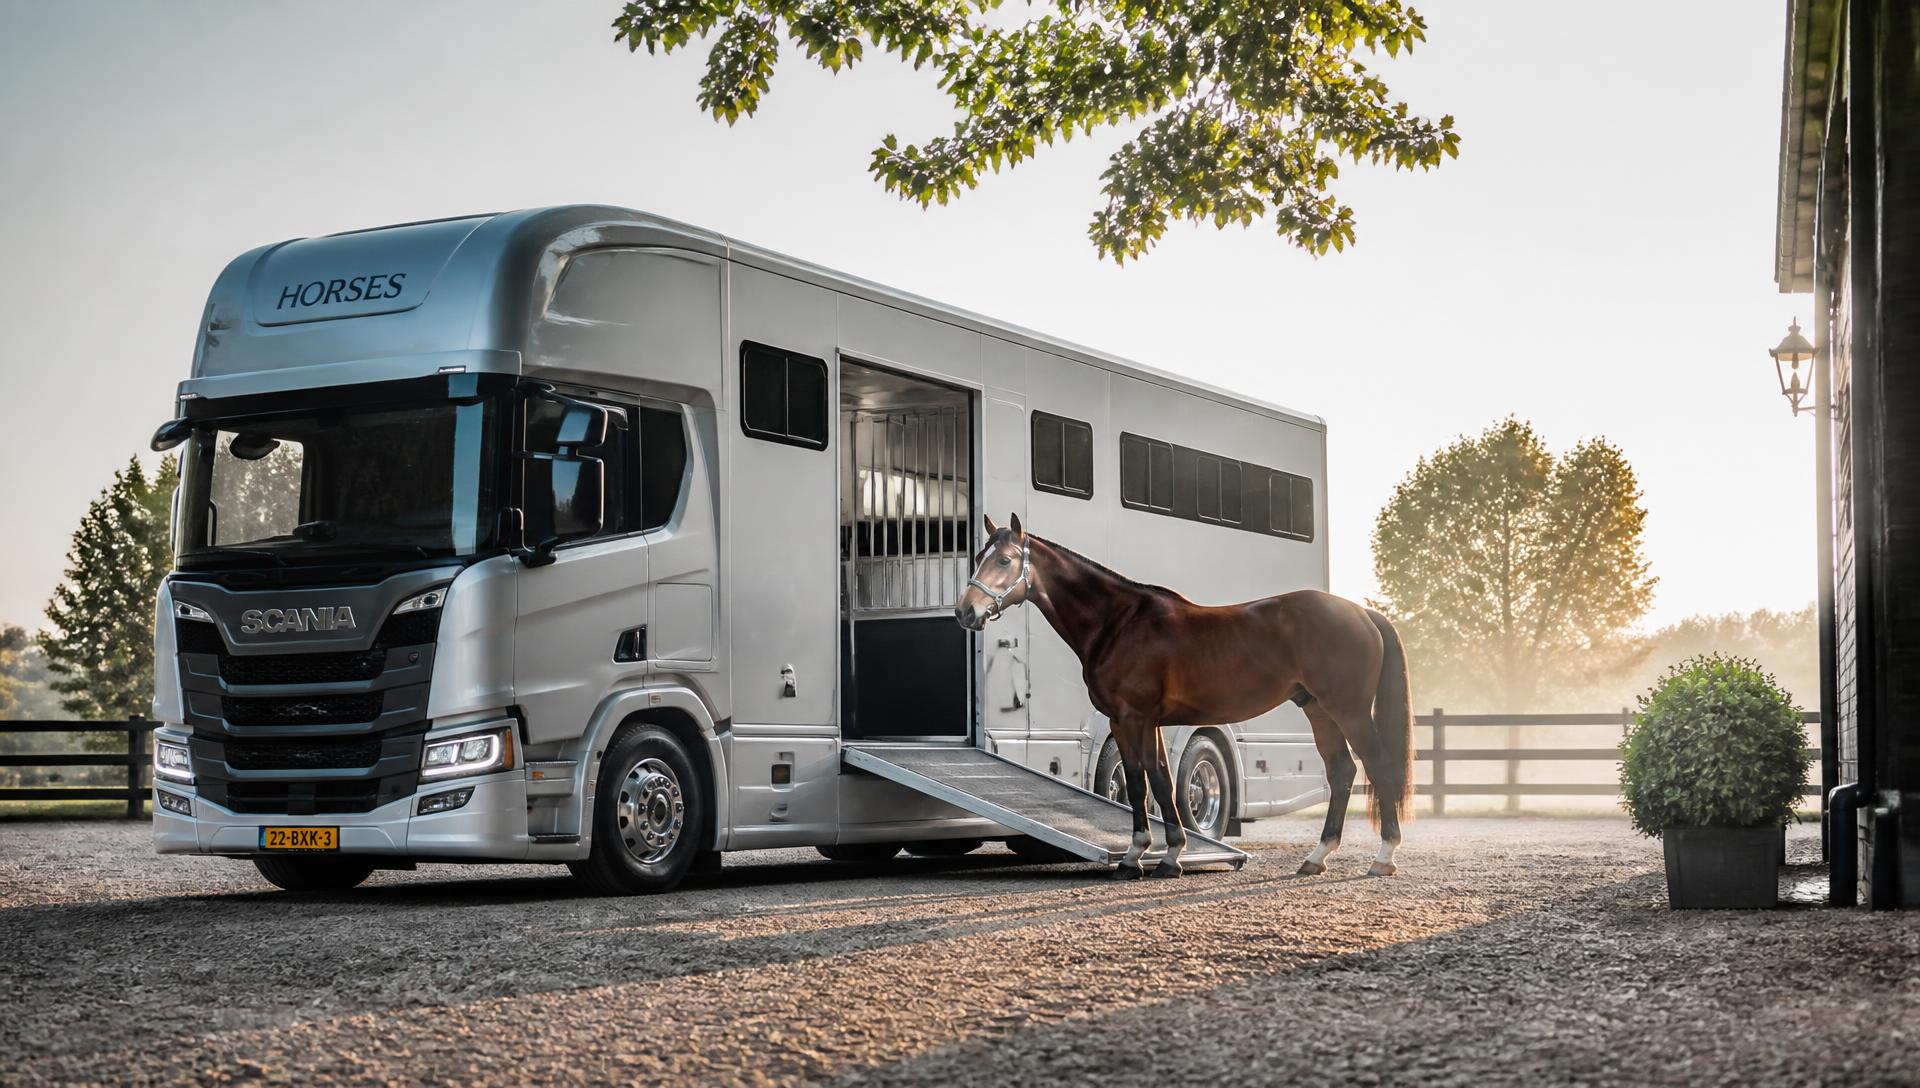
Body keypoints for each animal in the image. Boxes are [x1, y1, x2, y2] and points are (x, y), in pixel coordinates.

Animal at [955, 513, 1413, 880]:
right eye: (978, 556)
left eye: (1004, 560)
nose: (965, 612)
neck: (1119, 623)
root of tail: (1361, 612)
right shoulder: (1147, 722)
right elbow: (1160, 781)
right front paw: (1170, 855)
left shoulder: (1131, 719)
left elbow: (1139, 784)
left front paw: (1136, 858)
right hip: (1319, 710)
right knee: (1342, 771)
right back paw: (1317, 857)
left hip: (1350, 710)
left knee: (1377, 766)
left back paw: (1384, 857)